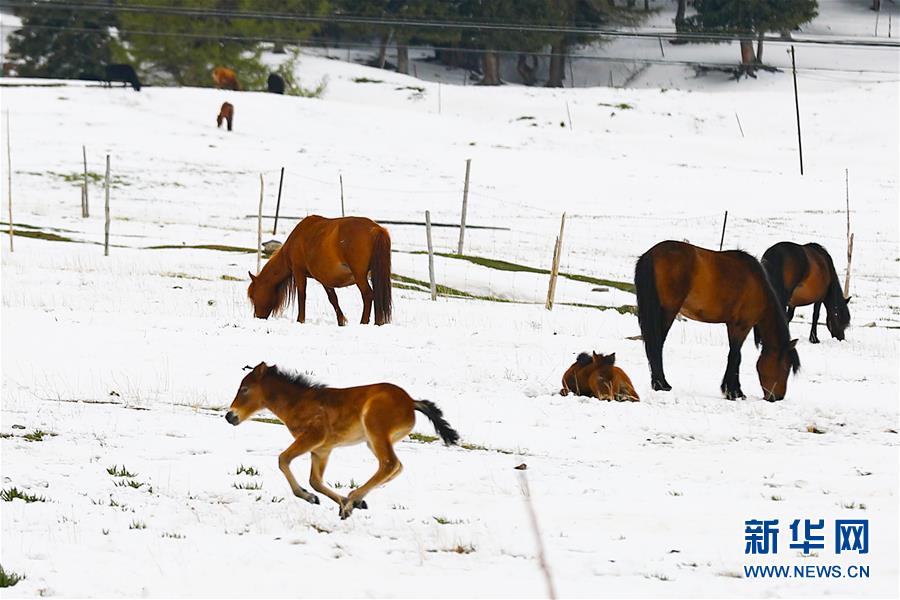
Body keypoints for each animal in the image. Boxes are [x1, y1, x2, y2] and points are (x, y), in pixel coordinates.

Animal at [251, 216, 396, 326]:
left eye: (253, 296)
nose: (257, 317)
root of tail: (376, 229)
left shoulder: (299, 272)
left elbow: (302, 295)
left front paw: (300, 320)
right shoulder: (325, 279)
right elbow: (333, 299)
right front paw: (341, 321)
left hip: (360, 276)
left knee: (368, 295)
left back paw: (364, 322)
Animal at [632, 241, 800, 400]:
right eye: (786, 367)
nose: (777, 397)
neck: (758, 285)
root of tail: (651, 254)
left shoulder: (731, 325)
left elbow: (735, 355)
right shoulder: (741, 326)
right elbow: (735, 356)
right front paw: (733, 392)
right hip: (668, 311)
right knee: (657, 344)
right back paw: (662, 384)